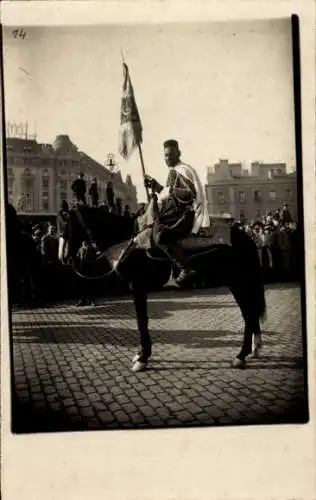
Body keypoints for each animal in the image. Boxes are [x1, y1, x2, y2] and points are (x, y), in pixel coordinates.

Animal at [58, 203, 266, 372]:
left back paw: (240, 356)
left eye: (67, 225)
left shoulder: (138, 287)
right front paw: (141, 354)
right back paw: (254, 349)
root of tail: (245, 237)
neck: (129, 243)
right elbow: (142, 321)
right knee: (252, 312)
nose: (63, 257)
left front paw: (142, 359)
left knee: (249, 314)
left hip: (236, 282)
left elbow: (141, 321)